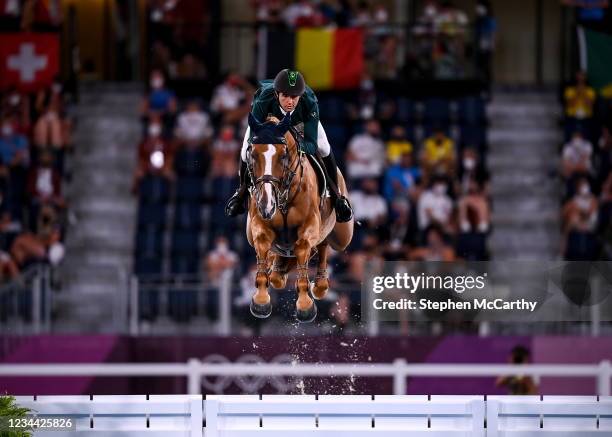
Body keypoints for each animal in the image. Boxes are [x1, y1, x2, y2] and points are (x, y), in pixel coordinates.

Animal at [244, 113, 352, 324]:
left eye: (283, 156)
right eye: (253, 155)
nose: (267, 205)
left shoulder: (308, 227)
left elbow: (303, 249)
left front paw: (305, 305)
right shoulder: (260, 227)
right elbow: (262, 250)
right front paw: (261, 301)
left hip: (342, 237)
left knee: (322, 245)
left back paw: (319, 286)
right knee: (282, 259)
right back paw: (278, 270)